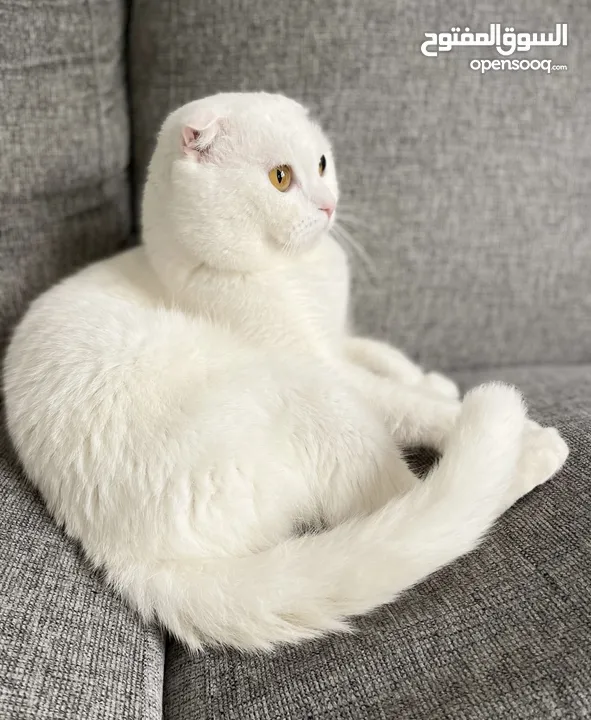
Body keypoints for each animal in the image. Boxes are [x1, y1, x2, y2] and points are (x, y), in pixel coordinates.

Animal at [3, 91, 568, 652]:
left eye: (321, 163)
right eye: (280, 177)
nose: (328, 204)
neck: (296, 272)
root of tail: (121, 553)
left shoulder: (336, 342)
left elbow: (380, 354)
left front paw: (429, 376)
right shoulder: (324, 367)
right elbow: (412, 406)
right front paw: (463, 407)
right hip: (314, 400)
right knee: (419, 502)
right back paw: (527, 454)